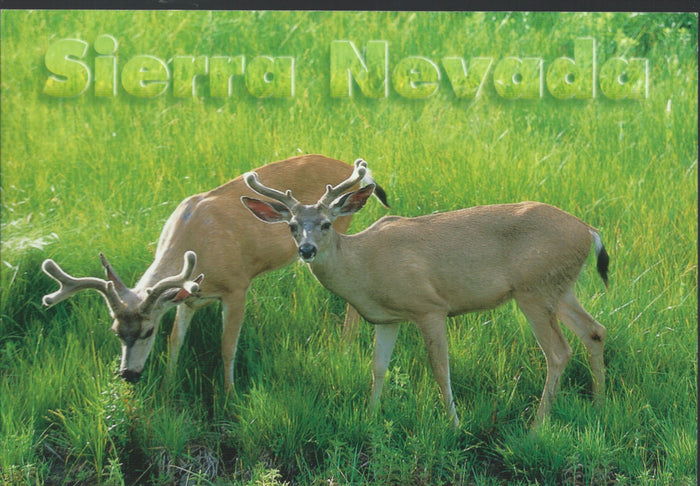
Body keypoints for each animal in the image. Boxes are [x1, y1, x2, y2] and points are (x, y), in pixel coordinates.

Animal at [41, 155, 389, 390]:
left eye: (147, 331)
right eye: (115, 331)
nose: (128, 375)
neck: (194, 243)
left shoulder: (237, 286)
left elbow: (226, 347)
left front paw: (228, 395)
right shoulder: (187, 297)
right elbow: (176, 342)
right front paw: (167, 387)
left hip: (340, 226)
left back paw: (345, 348)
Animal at [240, 159, 610, 427]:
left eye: (326, 224)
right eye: (291, 226)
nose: (306, 250)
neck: (363, 266)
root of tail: (589, 231)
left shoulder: (429, 306)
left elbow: (439, 368)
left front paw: (454, 423)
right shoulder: (387, 319)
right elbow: (378, 367)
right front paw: (371, 417)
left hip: (534, 289)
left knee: (559, 352)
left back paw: (537, 425)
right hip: (560, 288)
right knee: (594, 331)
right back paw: (598, 403)